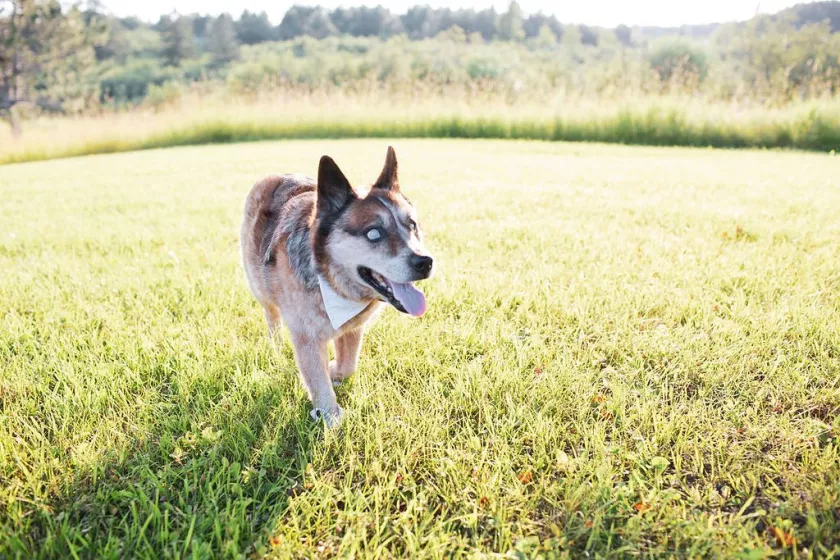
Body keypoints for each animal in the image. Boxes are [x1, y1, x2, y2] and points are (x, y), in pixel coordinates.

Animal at [238, 147, 430, 426]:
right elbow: (319, 384)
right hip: (259, 286)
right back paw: (275, 344)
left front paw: (335, 373)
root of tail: (278, 175)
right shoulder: (305, 337)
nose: (425, 262)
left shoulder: (353, 328)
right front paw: (331, 418)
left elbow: (348, 365)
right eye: (374, 233)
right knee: (271, 314)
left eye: (412, 225)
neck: (330, 283)